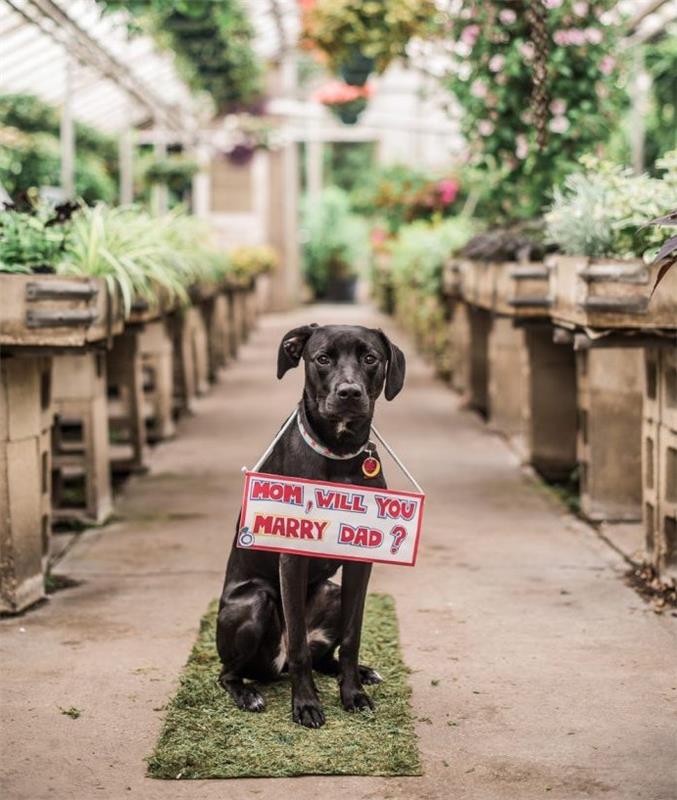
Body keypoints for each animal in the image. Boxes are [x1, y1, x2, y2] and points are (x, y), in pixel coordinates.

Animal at [217, 322, 406, 728]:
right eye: (322, 358)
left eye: (370, 358)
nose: (349, 392)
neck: (339, 452)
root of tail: (277, 667)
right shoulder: (292, 557)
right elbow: (301, 646)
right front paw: (306, 704)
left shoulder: (359, 562)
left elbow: (352, 637)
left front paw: (353, 693)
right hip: (254, 602)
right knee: (231, 672)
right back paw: (249, 694)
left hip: (332, 594)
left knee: (323, 657)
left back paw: (360, 673)